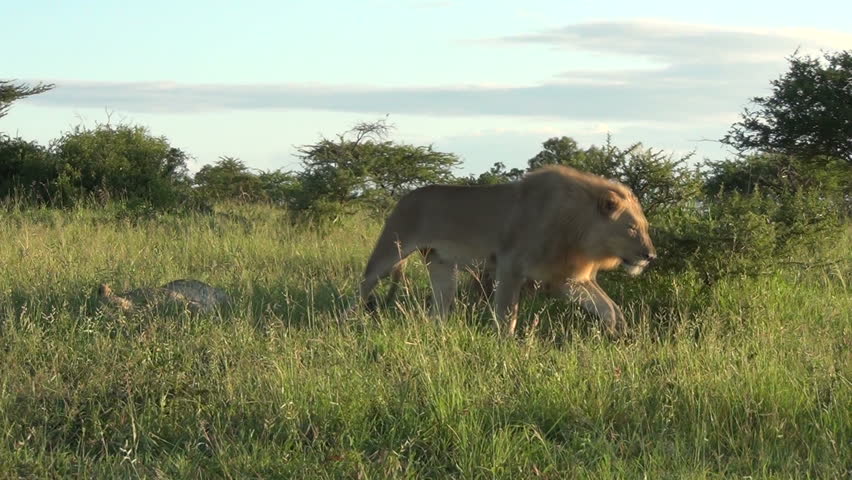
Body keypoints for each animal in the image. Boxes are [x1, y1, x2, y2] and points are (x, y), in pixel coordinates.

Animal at [356, 165, 656, 336]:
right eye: (631, 228)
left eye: (645, 227)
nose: (650, 256)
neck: (578, 229)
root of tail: (404, 196)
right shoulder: (510, 265)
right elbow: (506, 314)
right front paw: (506, 347)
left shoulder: (566, 279)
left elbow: (609, 307)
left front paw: (618, 334)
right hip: (389, 251)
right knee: (361, 288)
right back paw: (349, 323)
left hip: (441, 265)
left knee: (438, 309)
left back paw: (438, 336)